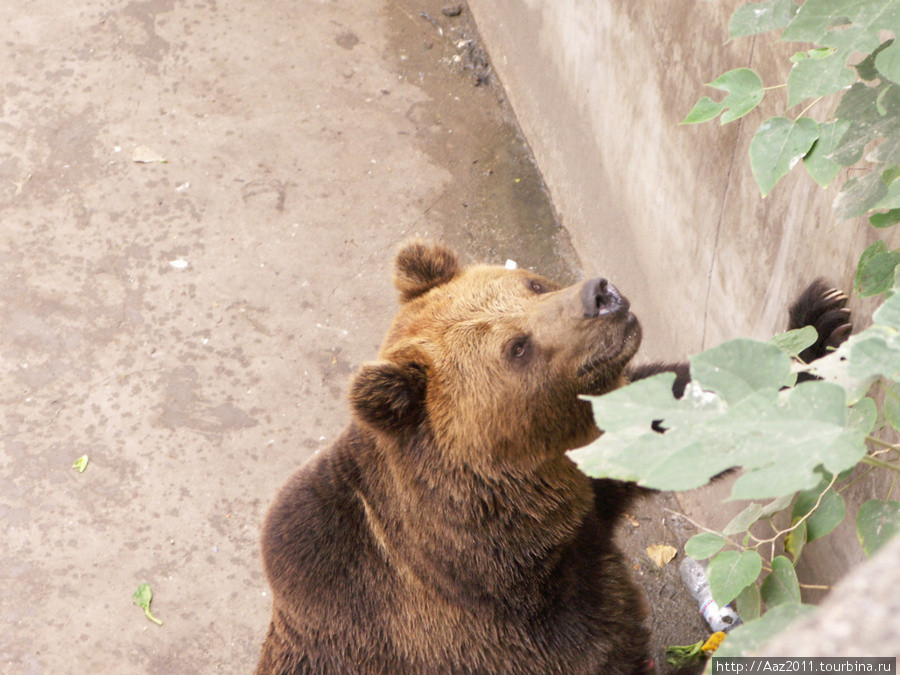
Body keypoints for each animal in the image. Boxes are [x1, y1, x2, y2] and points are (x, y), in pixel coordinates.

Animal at [253, 240, 852, 672]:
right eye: (517, 349)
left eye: (533, 283)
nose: (601, 295)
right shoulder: (518, 635)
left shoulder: (589, 492)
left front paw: (822, 323)